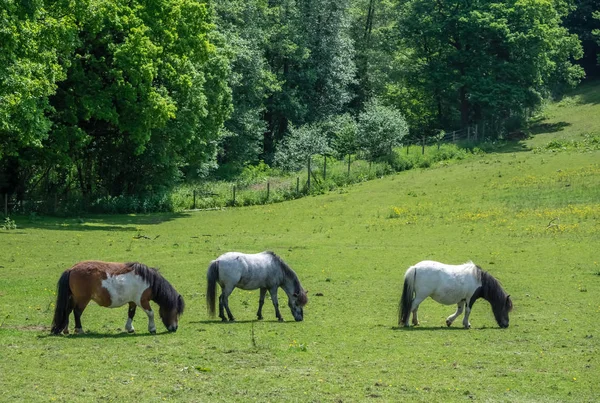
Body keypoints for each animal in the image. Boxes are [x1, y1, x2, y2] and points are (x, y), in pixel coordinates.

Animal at [50, 262, 184, 334]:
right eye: (175, 311)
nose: (175, 328)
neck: (147, 280)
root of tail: (72, 269)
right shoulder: (142, 301)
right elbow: (151, 313)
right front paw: (152, 328)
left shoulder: (132, 302)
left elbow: (131, 314)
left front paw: (130, 328)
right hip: (82, 300)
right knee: (77, 312)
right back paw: (79, 330)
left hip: (73, 298)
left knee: (67, 311)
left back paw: (65, 330)